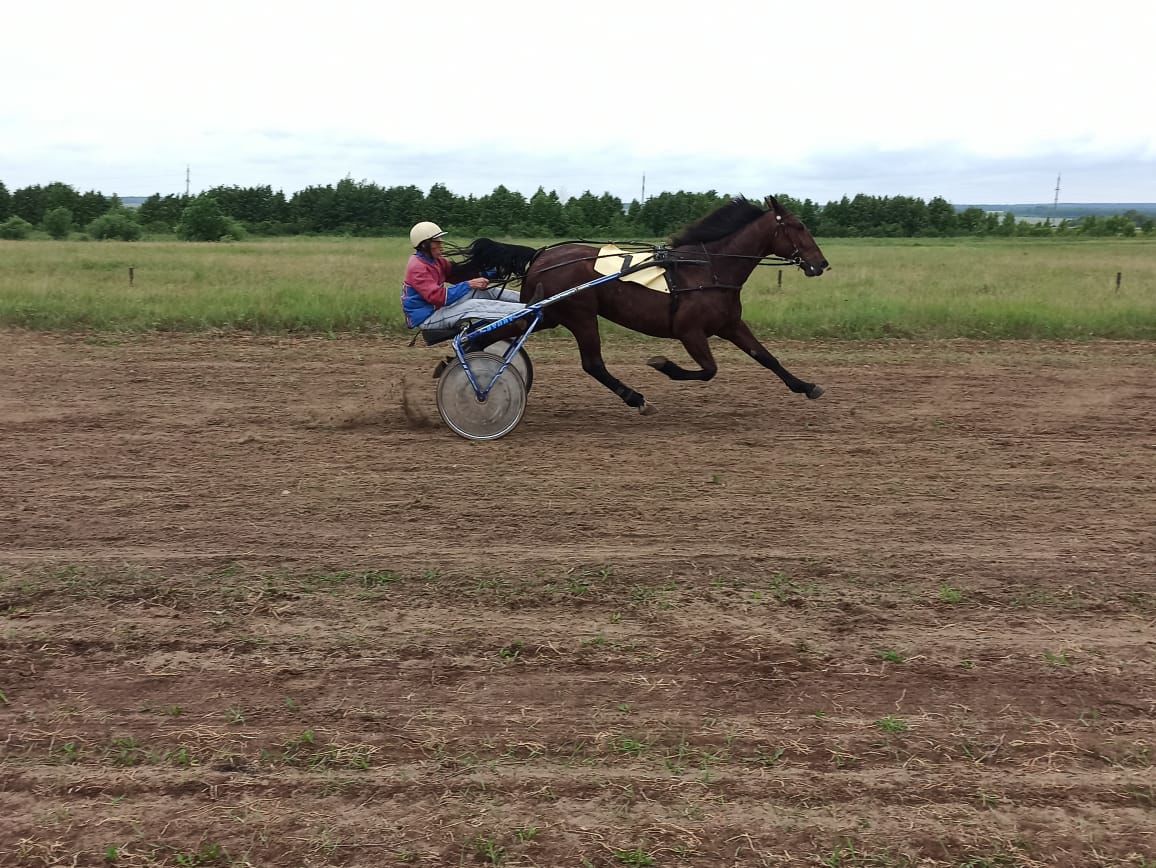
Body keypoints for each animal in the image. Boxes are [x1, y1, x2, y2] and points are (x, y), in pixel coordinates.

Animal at [453, 196, 832, 413]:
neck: (708, 268)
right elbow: (709, 370)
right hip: (579, 315)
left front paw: (806, 386)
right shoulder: (690, 331)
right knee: (593, 364)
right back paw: (636, 399)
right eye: (798, 226)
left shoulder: (730, 324)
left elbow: (765, 356)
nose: (822, 264)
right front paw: (663, 364)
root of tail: (540, 255)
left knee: (498, 332)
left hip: (548, 314)